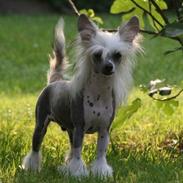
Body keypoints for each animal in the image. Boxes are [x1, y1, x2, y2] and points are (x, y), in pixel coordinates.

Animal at [21, 13, 142, 177]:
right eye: (97, 54)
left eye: (118, 55)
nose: (109, 67)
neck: (99, 94)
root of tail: (55, 80)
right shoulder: (80, 128)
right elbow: (78, 151)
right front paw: (77, 171)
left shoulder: (104, 130)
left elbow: (100, 152)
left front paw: (100, 171)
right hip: (41, 125)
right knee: (36, 147)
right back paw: (32, 167)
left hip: (70, 129)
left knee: (71, 146)